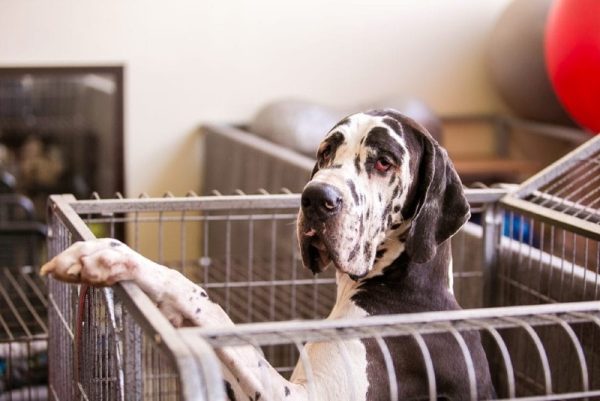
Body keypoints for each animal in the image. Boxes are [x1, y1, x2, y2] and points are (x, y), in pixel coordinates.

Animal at [41, 109, 492, 400]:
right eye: (325, 152)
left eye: (384, 162)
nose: (316, 198)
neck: (402, 285)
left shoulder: (308, 396)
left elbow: (211, 308)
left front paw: (107, 254)